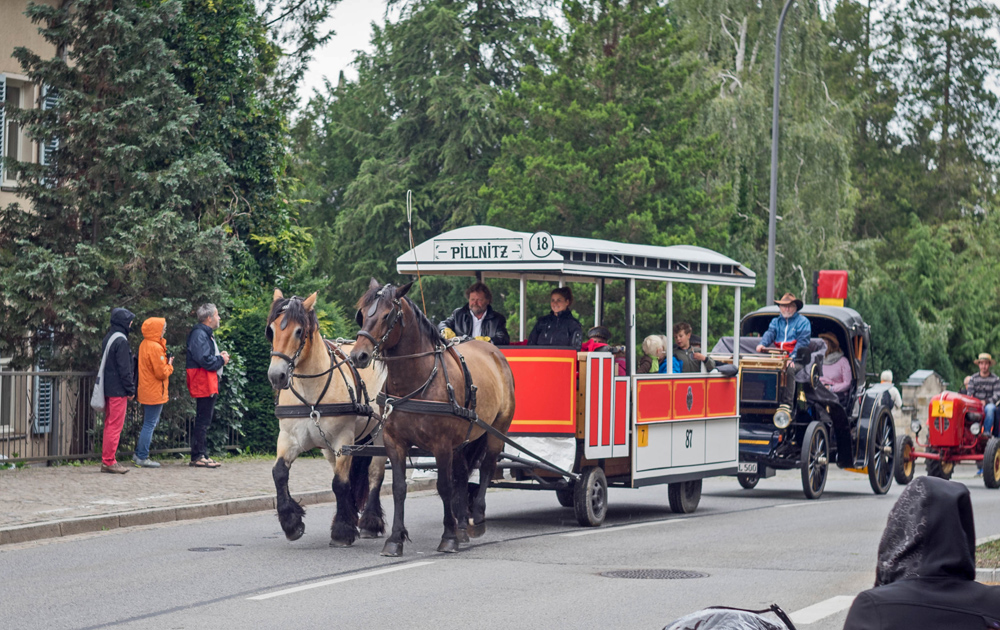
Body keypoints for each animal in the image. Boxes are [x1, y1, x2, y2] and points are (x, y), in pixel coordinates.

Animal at [266, 292, 386, 548]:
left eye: (299, 331)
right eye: (271, 330)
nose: (276, 376)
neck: (311, 393)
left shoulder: (343, 439)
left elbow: (339, 483)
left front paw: (342, 531)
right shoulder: (289, 437)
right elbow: (279, 473)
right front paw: (291, 523)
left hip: (380, 432)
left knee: (375, 472)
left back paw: (370, 522)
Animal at [350, 282, 516, 556]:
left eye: (386, 315)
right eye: (362, 314)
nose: (358, 356)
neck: (416, 380)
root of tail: (493, 351)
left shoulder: (441, 445)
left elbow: (444, 486)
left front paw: (448, 537)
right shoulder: (395, 442)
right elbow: (399, 489)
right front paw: (395, 539)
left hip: (496, 430)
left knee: (487, 467)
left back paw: (477, 518)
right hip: (462, 440)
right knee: (463, 474)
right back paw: (462, 525)